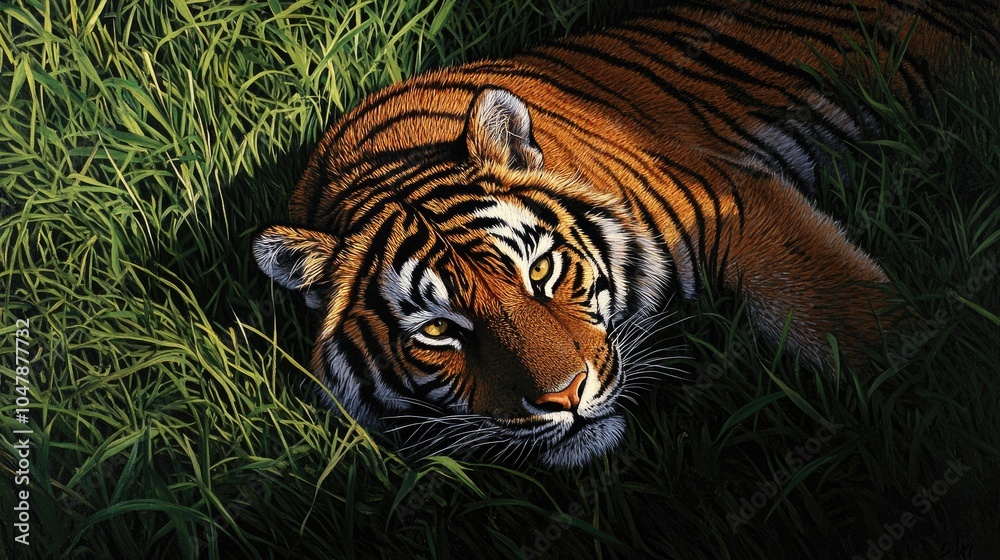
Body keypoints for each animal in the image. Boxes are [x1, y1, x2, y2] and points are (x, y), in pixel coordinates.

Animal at [252, 0, 999, 468]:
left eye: (541, 272)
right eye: (438, 331)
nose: (564, 400)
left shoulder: (736, 200)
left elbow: (854, 319)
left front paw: (936, 387)